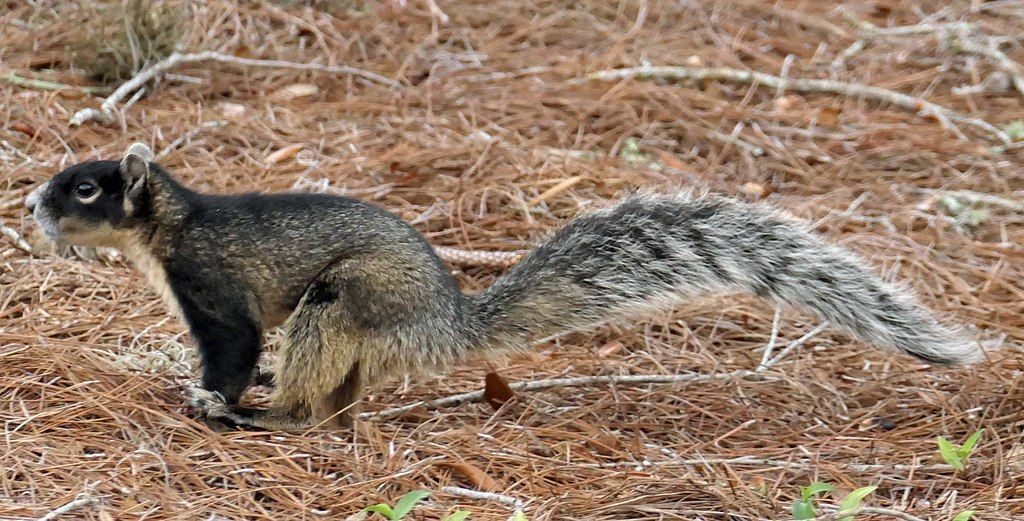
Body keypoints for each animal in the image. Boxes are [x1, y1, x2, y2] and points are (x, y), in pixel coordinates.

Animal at [25, 142, 983, 430]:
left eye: (88, 188)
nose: (32, 203)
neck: (171, 227)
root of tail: (449, 322)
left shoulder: (216, 287)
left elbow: (231, 347)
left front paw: (212, 396)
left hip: (346, 301)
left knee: (319, 386)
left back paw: (274, 414)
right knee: (348, 394)